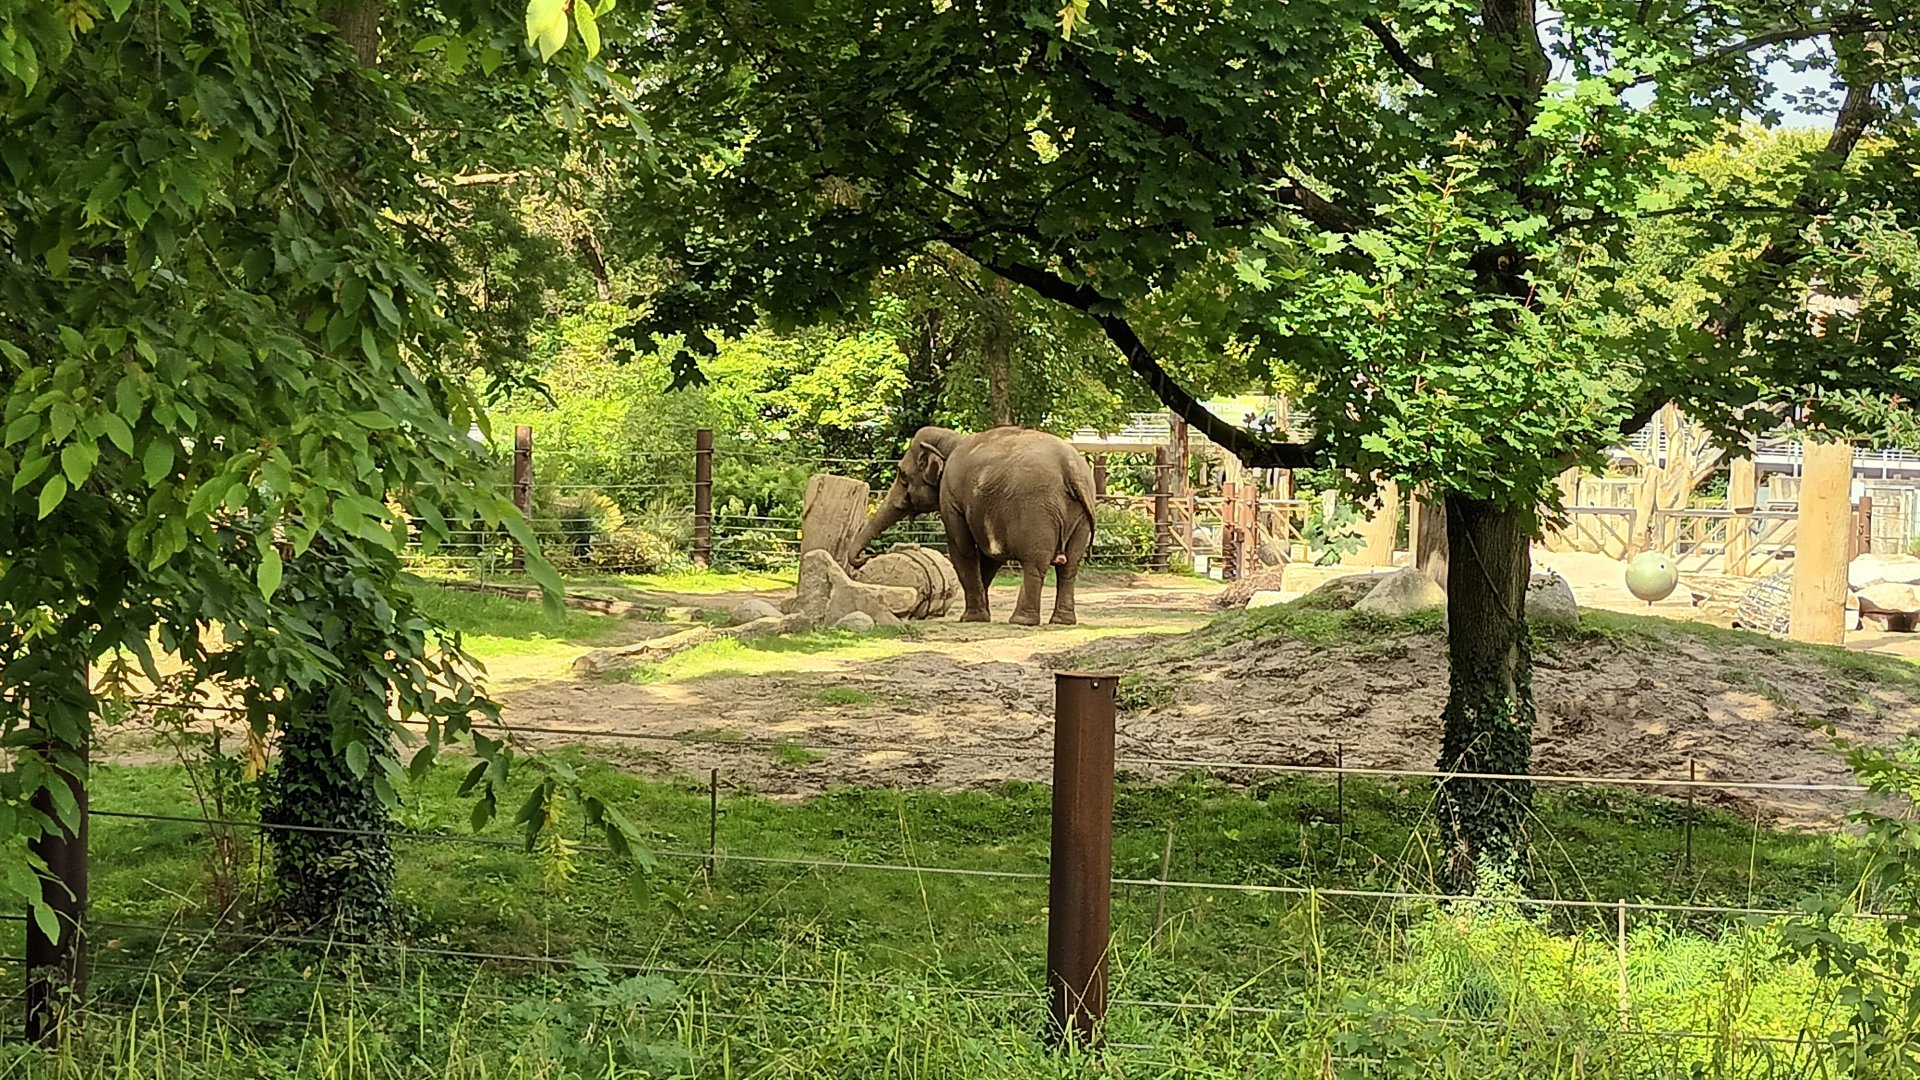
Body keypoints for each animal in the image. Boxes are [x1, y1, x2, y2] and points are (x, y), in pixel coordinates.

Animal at [849, 426, 1097, 626]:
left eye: (902, 475)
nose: (863, 558)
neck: (952, 441)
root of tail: (1070, 468)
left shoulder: (950, 498)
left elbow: (962, 549)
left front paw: (970, 618)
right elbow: (990, 557)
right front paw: (980, 613)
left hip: (1037, 512)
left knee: (1035, 564)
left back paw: (1022, 621)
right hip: (1080, 517)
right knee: (1069, 566)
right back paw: (1062, 621)